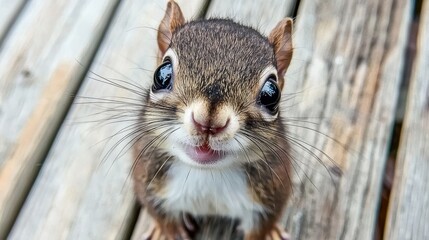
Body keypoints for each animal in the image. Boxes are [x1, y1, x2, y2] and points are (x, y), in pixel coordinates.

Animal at [133, 0, 294, 239]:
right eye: (162, 74)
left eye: (271, 94)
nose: (208, 123)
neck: (207, 174)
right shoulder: (148, 179)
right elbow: (160, 214)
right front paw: (166, 231)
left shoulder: (272, 192)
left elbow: (263, 225)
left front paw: (268, 233)